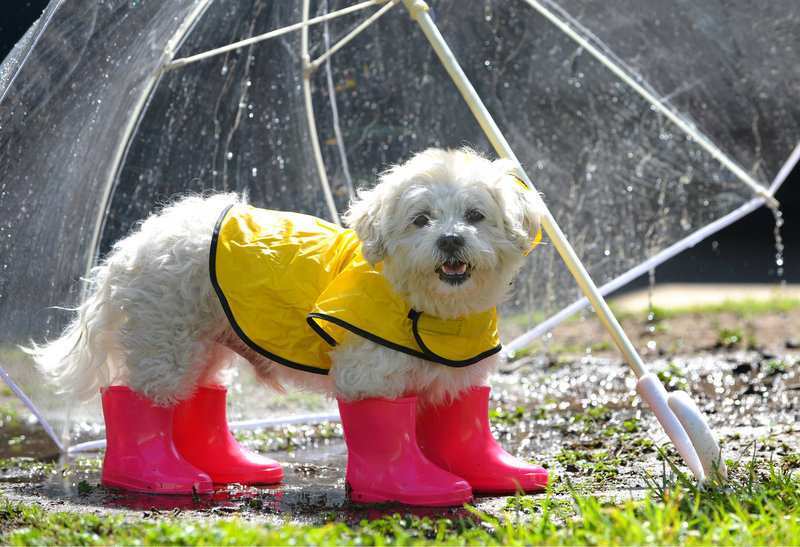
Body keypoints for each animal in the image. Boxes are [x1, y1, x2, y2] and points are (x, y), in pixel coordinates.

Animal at [28, 149, 548, 506]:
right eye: (421, 220)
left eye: (476, 215)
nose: (451, 239)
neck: (428, 308)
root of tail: (133, 244)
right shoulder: (370, 376)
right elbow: (383, 430)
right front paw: (407, 487)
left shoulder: (456, 377)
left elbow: (459, 427)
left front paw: (492, 472)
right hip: (165, 340)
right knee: (140, 398)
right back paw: (155, 477)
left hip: (205, 345)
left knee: (199, 399)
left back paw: (230, 467)